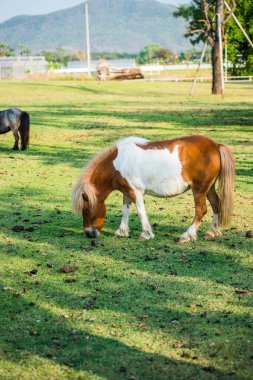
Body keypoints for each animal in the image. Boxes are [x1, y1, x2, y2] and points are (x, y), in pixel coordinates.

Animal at [71, 136, 235, 243]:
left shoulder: (135, 191)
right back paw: (212, 232)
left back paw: (187, 235)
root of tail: (216, 145)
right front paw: (122, 231)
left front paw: (146, 234)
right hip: (209, 188)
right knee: (216, 204)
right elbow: (125, 210)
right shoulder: (127, 192)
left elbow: (140, 211)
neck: (118, 162)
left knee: (201, 210)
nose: (88, 234)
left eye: (86, 210)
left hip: (199, 189)